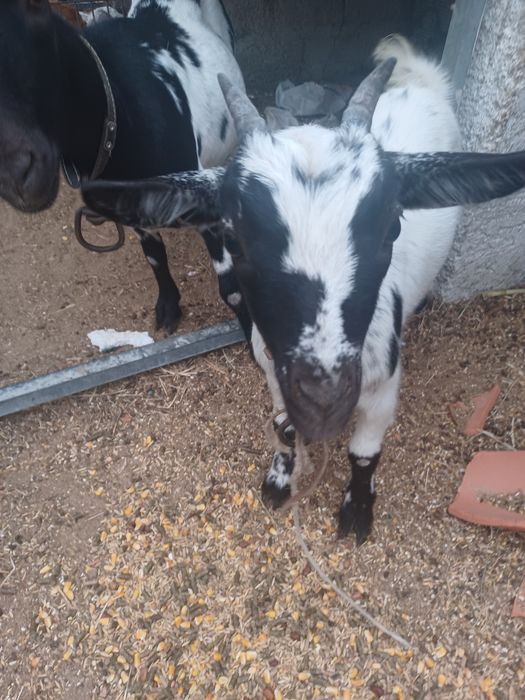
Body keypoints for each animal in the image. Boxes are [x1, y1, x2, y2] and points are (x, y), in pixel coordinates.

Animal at [82, 35, 525, 543]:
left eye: (391, 228)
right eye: (233, 237)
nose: (324, 399)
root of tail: (420, 78)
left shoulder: (382, 388)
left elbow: (364, 453)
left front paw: (357, 512)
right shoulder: (275, 370)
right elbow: (285, 429)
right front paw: (280, 481)